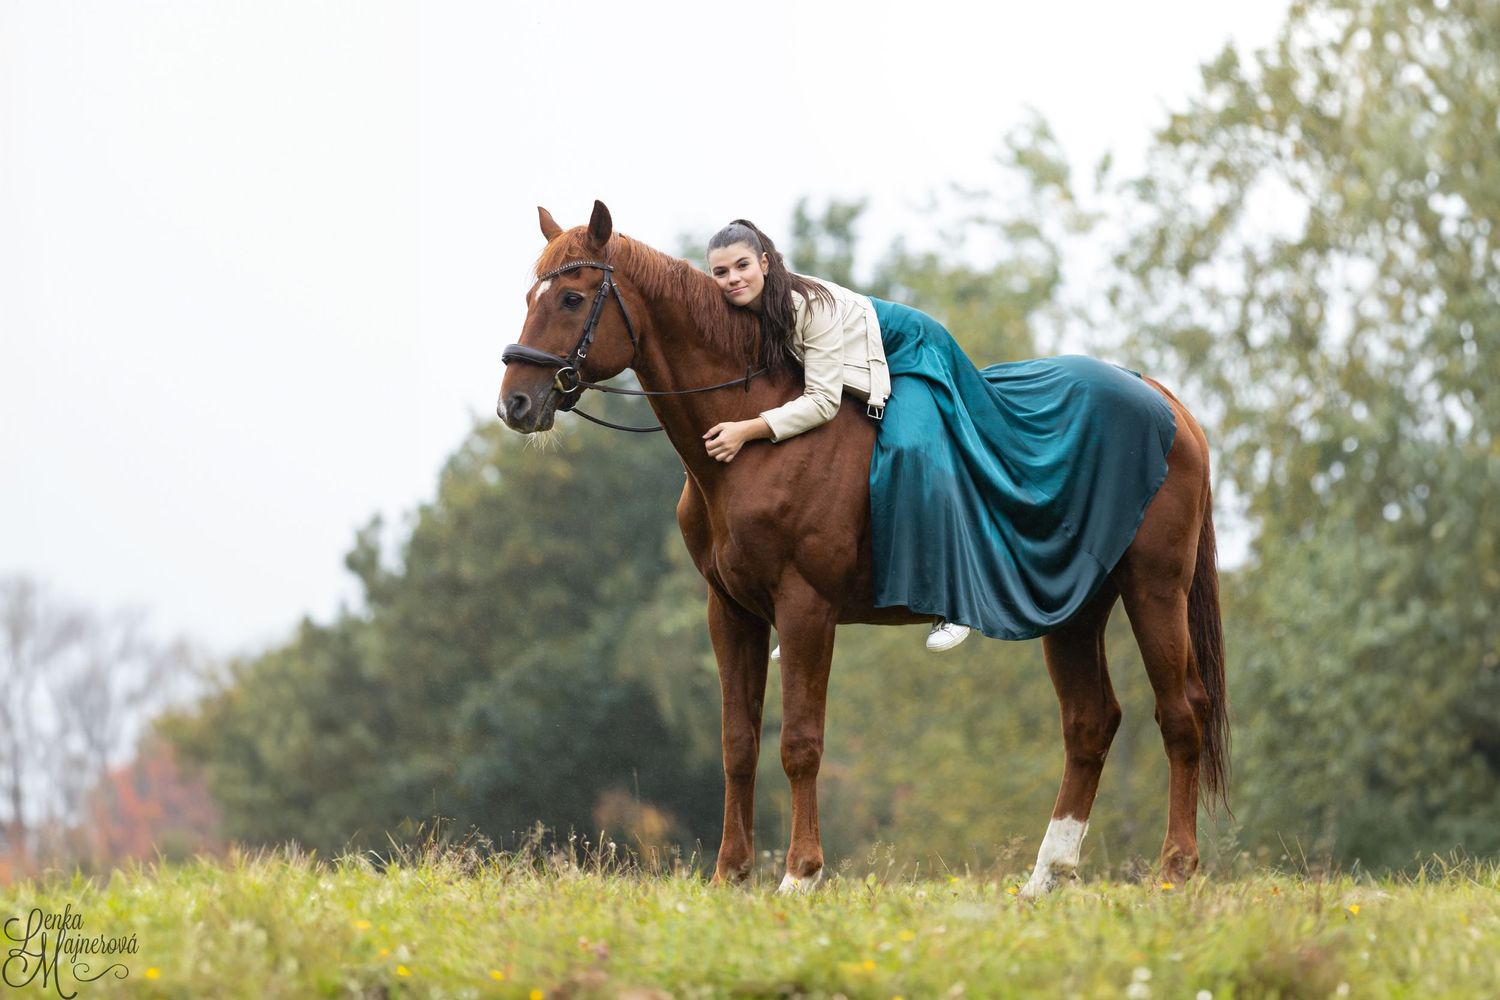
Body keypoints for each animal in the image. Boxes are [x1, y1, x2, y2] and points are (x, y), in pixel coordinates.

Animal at [498, 201, 1227, 897]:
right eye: (530, 295)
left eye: (571, 298)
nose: (515, 404)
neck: (759, 432)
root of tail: (1163, 401)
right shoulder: (730, 612)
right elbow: (738, 743)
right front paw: (730, 876)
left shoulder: (805, 609)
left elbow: (800, 743)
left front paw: (799, 874)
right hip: (1073, 610)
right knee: (1089, 723)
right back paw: (1046, 877)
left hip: (1153, 589)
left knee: (1181, 713)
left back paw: (1177, 867)